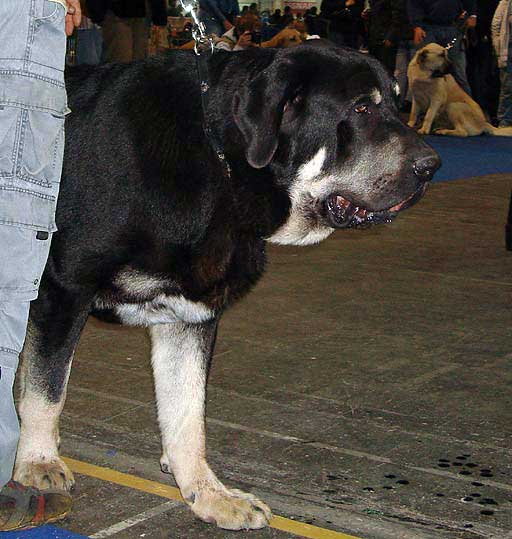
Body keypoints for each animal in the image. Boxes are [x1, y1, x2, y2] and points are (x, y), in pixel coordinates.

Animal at [15, 42, 440, 532]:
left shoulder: (188, 314)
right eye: (361, 108)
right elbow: (47, 389)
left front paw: (208, 493)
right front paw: (37, 462)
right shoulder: (62, 287)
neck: (223, 166)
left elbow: (187, 415)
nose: (431, 166)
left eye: (397, 104)